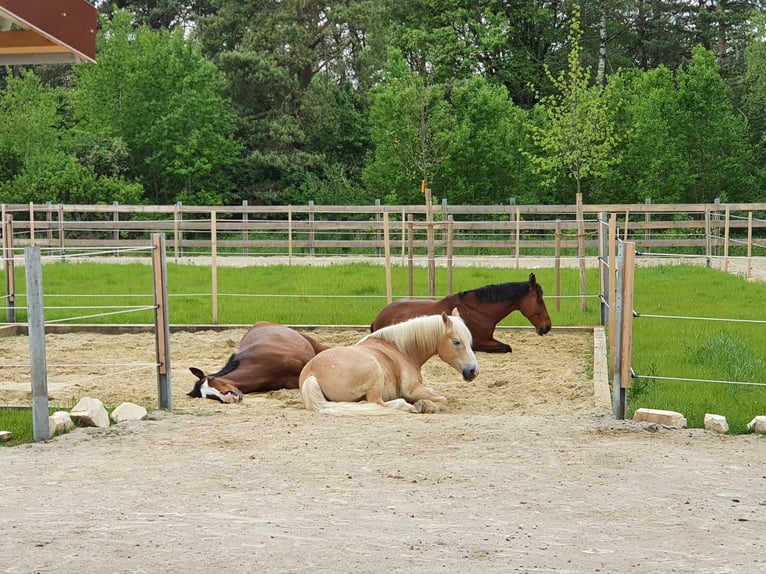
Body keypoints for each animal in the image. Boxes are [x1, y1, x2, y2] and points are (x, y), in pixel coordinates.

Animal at [299, 310, 479, 416]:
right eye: (456, 342)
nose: (473, 371)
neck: (401, 350)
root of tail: (311, 374)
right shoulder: (413, 390)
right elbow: (442, 400)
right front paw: (426, 405)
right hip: (375, 374)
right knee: (377, 403)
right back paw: (409, 406)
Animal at [370, 273, 551, 354]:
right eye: (539, 299)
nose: (547, 326)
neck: (478, 310)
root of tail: (379, 317)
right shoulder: (480, 342)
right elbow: (507, 347)